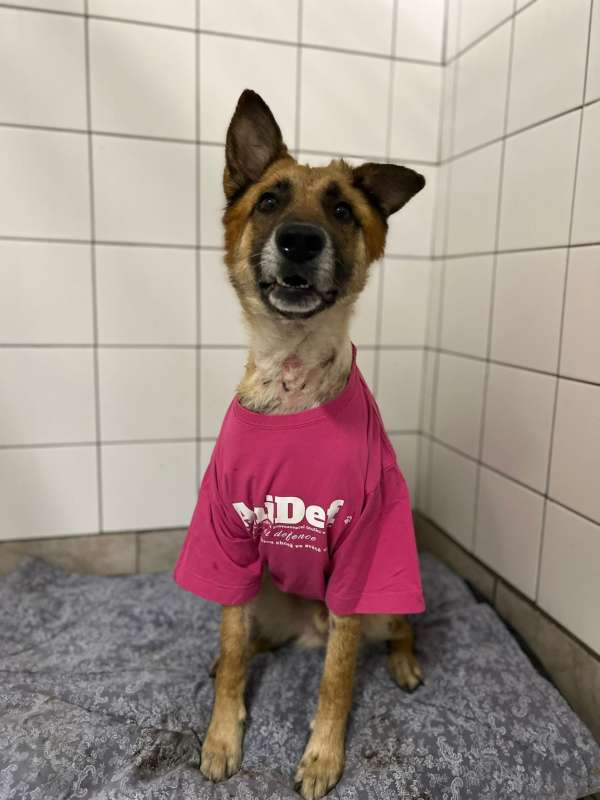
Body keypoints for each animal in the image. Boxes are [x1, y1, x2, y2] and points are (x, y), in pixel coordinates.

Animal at [178, 89, 426, 800]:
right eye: (269, 200)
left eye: (341, 210)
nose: (298, 240)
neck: (292, 378)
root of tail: (306, 630)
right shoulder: (227, 540)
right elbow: (235, 653)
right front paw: (221, 736)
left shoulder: (362, 553)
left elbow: (337, 679)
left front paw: (321, 757)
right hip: (258, 586)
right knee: (248, 639)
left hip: (383, 600)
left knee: (395, 629)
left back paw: (404, 663)